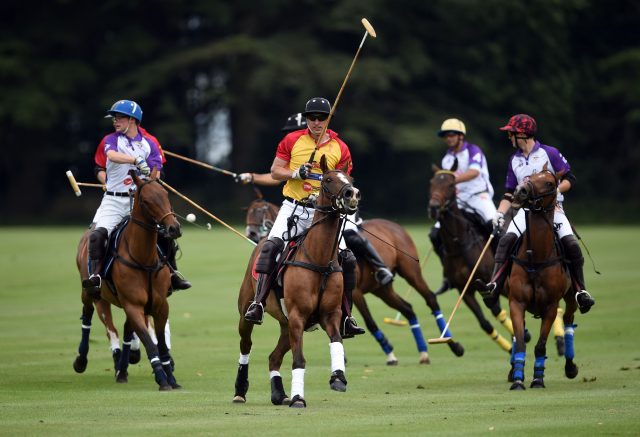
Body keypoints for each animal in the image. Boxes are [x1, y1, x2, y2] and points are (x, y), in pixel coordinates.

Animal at [74, 169, 181, 388]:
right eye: (147, 201)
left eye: (166, 195)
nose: (174, 228)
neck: (143, 259)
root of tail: (89, 230)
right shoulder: (133, 305)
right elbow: (150, 344)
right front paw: (162, 379)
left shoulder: (159, 305)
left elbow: (161, 344)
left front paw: (170, 377)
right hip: (92, 293)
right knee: (95, 320)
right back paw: (82, 360)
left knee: (123, 330)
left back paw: (123, 368)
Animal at [234, 155, 360, 408]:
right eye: (328, 179)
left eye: (350, 179)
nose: (352, 194)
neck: (319, 259)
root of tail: (261, 240)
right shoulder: (298, 316)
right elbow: (299, 359)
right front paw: (298, 398)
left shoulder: (329, 314)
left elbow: (337, 341)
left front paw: (338, 378)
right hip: (248, 312)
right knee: (246, 345)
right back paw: (240, 390)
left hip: (285, 323)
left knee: (273, 357)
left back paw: (278, 393)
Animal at [242, 199, 462, 362]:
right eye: (248, 213)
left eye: (260, 212)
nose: (251, 233)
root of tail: (395, 225)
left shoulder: (353, 293)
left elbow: (369, 323)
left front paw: (389, 354)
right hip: (382, 289)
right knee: (407, 308)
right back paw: (424, 352)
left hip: (411, 271)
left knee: (430, 298)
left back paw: (453, 345)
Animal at [430, 165, 516, 352]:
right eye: (431, 183)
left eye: (451, 185)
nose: (433, 208)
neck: (459, 243)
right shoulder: (464, 289)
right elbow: (484, 323)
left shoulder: (487, 283)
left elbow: (496, 309)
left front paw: (523, 336)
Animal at [508, 166, 576, 388]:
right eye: (529, 177)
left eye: (550, 183)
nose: (520, 191)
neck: (536, 257)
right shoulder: (516, 302)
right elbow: (521, 342)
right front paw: (518, 380)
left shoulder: (550, 307)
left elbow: (540, 345)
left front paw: (538, 379)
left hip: (571, 297)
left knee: (569, 320)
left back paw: (570, 367)